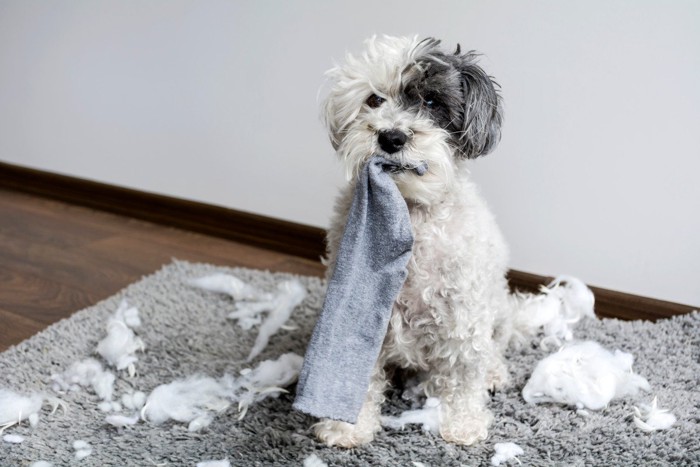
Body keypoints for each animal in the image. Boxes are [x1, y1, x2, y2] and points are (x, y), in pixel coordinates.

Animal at [312, 37, 532, 450]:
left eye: (431, 101)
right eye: (374, 99)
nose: (391, 137)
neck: (410, 212)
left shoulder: (462, 314)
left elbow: (463, 374)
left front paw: (462, 425)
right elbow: (361, 375)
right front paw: (347, 428)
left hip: (495, 308)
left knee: (494, 347)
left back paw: (494, 373)